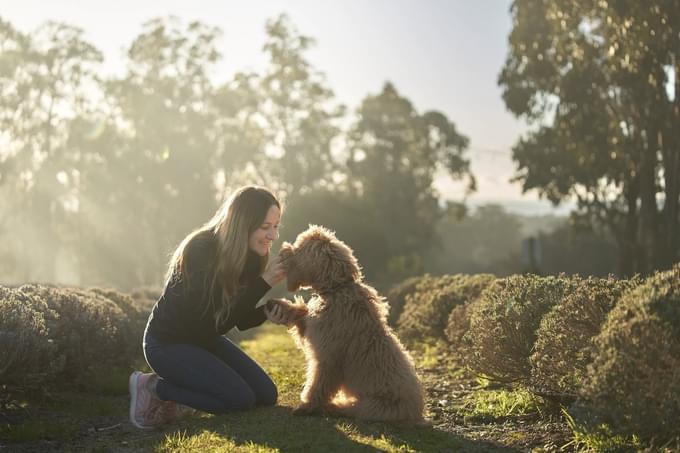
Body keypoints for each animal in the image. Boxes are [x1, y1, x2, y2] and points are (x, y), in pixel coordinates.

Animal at [266, 224, 422, 422]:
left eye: (299, 248)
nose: (282, 249)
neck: (336, 288)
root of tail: (417, 411)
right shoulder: (314, 330)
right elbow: (301, 313)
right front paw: (280, 307)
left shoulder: (327, 357)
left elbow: (317, 385)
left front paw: (307, 405)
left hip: (373, 406)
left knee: (351, 409)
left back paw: (332, 407)